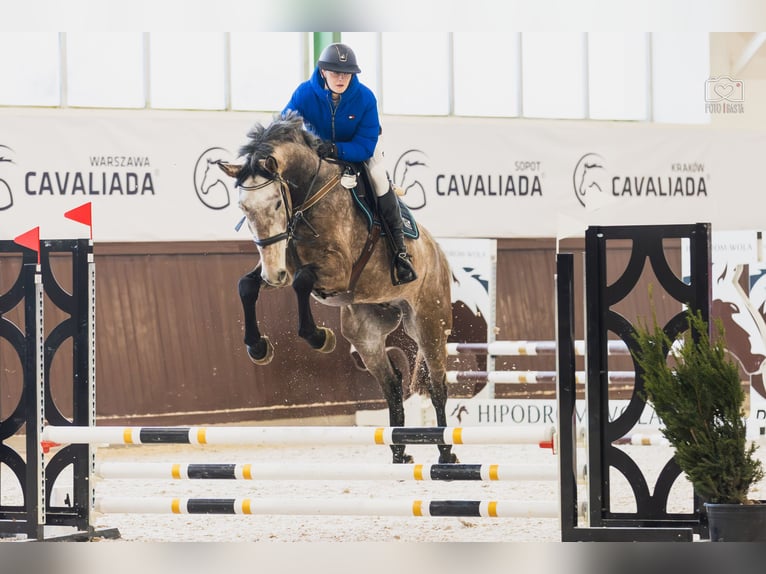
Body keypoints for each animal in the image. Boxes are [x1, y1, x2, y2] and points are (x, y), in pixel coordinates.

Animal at [217, 112, 457, 464]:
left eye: (275, 204)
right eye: (244, 209)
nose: (273, 276)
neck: (308, 197)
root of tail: (438, 253)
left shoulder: (336, 272)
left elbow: (302, 283)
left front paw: (318, 337)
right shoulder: (280, 262)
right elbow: (246, 286)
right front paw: (258, 347)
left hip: (428, 323)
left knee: (438, 384)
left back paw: (446, 452)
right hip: (366, 333)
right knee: (392, 384)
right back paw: (399, 453)